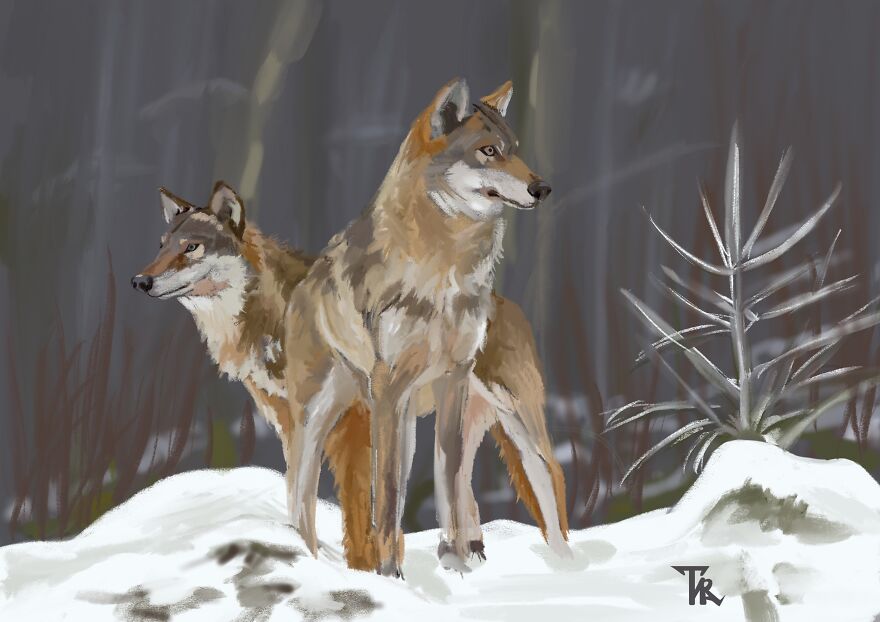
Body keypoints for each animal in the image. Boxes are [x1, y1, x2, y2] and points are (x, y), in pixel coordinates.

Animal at [132, 179, 569, 572]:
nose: (140, 281)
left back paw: (564, 565)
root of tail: (505, 302)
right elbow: (299, 495)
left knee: (552, 478)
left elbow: (358, 516)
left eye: (191, 247)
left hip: (518, 425)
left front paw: (364, 572)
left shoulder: (355, 425)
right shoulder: (294, 424)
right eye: (161, 246)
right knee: (463, 485)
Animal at [281, 77, 569, 576]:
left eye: (514, 149)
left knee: (547, 480)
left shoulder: (453, 378)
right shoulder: (389, 390)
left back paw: (560, 567)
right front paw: (389, 573)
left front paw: (455, 564)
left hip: (512, 421)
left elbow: (447, 481)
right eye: (488, 151)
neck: (445, 271)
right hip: (330, 417)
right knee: (302, 494)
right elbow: (388, 493)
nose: (543, 187)